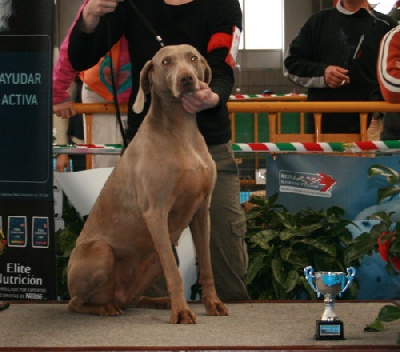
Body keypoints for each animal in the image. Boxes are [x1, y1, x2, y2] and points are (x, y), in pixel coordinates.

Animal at [67, 44, 230, 324]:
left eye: (193, 58)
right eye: (166, 62)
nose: (186, 79)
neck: (181, 131)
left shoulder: (201, 211)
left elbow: (207, 265)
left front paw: (213, 303)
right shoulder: (156, 212)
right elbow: (174, 273)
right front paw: (182, 312)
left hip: (153, 258)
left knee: (131, 299)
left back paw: (157, 301)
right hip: (100, 251)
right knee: (75, 303)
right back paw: (105, 308)